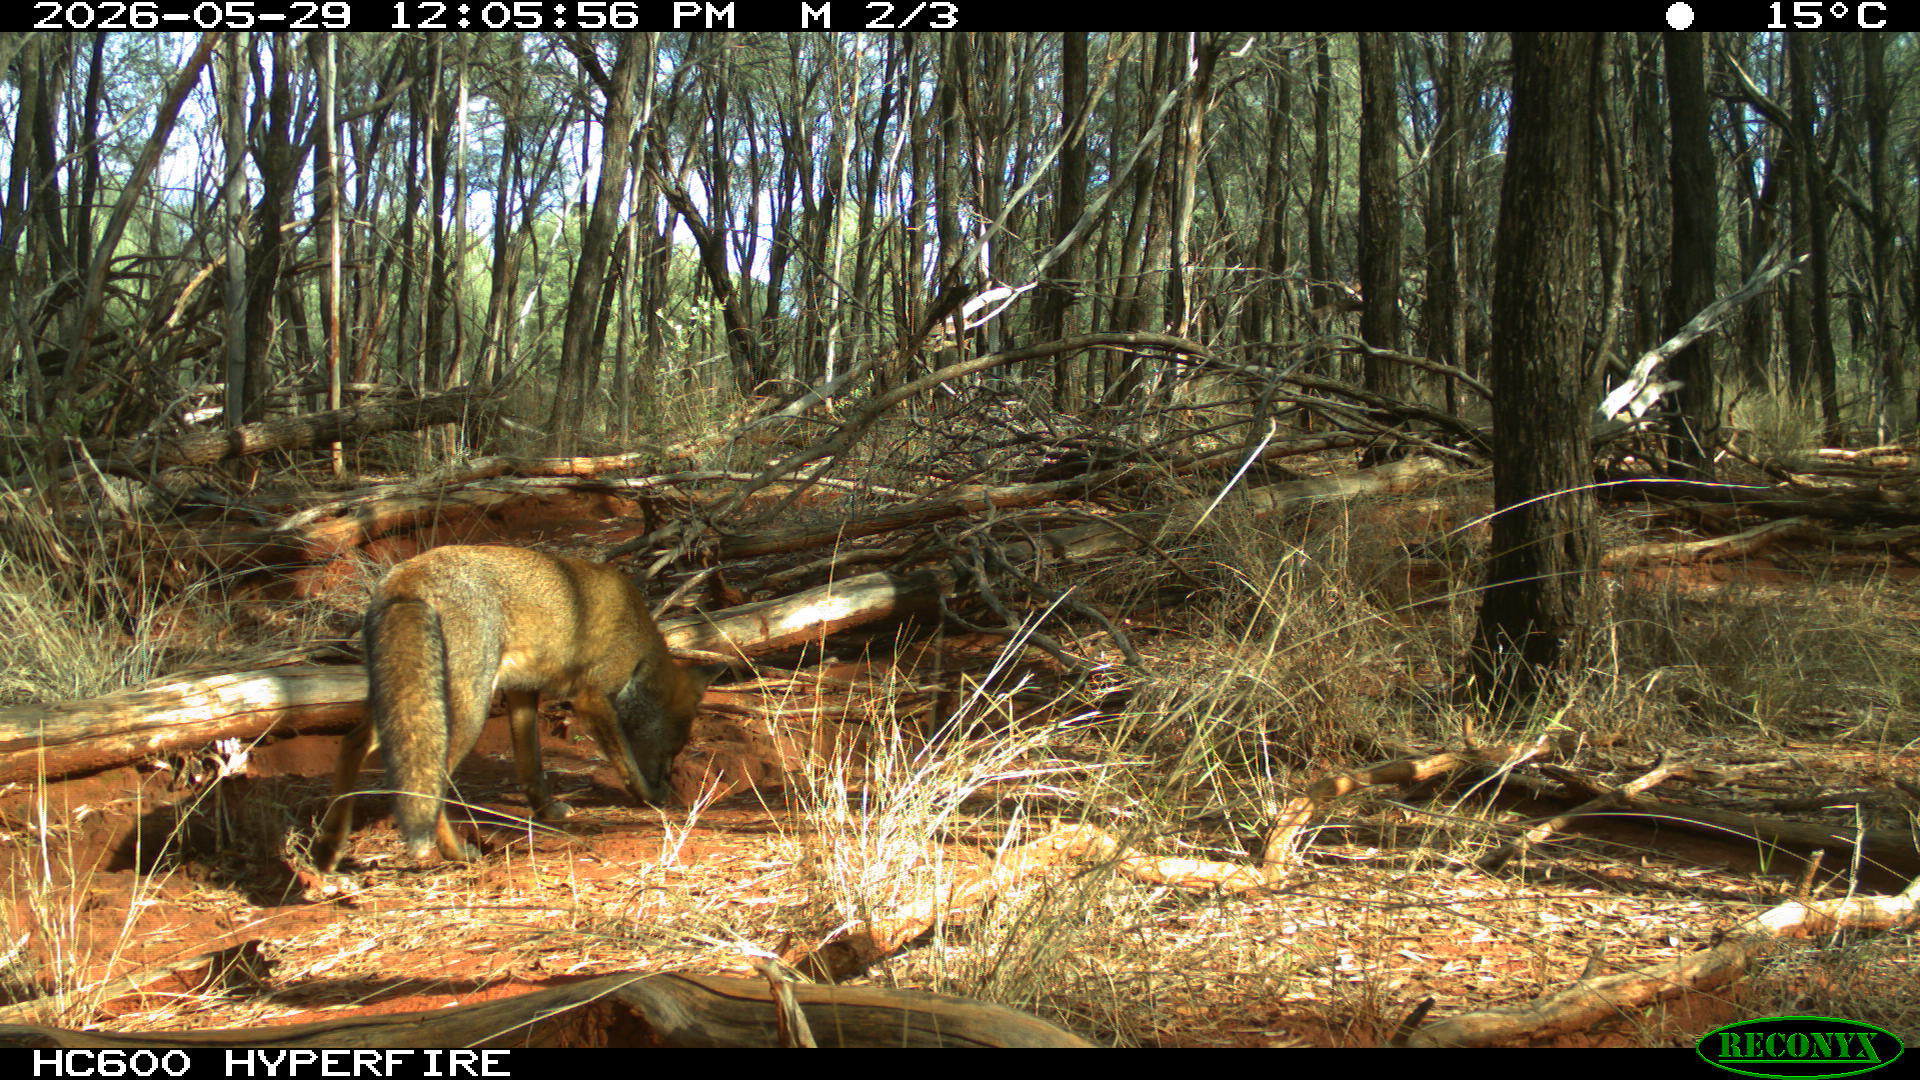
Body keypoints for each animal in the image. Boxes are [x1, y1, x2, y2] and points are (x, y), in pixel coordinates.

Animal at [312, 545, 726, 872]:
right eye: (673, 747)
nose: (671, 782)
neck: (639, 646)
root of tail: (410, 572)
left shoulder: (522, 692)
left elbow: (531, 766)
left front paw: (547, 812)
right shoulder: (591, 697)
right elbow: (626, 765)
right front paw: (651, 798)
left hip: (403, 703)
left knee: (352, 743)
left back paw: (328, 847)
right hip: (464, 707)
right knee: (433, 779)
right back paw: (456, 853)